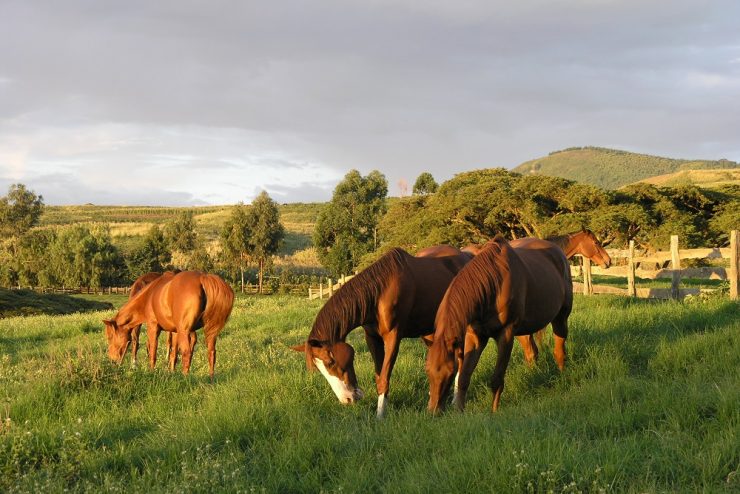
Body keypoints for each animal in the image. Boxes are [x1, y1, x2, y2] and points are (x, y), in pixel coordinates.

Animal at [105, 270, 233, 382]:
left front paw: (151, 372)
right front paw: (171, 372)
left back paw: (185, 379)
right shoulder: (175, 331)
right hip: (210, 332)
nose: (111, 360)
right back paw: (211, 379)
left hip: (184, 332)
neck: (149, 295)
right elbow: (173, 354)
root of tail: (202, 277)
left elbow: (153, 351)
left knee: (187, 352)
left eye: (110, 337)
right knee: (211, 352)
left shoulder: (153, 327)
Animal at [290, 247, 472, 416]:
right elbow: (379, 375)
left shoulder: (393, 337)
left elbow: (384, 377)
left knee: (460, 360)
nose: (347, 399)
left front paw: (380, 415)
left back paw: (455, 399)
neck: (379, 292)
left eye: (330, 362)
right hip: (429, 332)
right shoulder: (372, 337)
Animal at [424, 235, 576, 412]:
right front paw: (459, 411)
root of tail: (559, 252)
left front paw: (494, 412)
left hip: (561, 317)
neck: (493, 285)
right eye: (427, 371)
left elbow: (496, 379)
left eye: (449, 372)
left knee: (559, 350)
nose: (433, 411)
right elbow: (464, 377)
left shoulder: (506, 334)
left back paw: (562, 378)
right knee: (533, 352)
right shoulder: (476, 336)